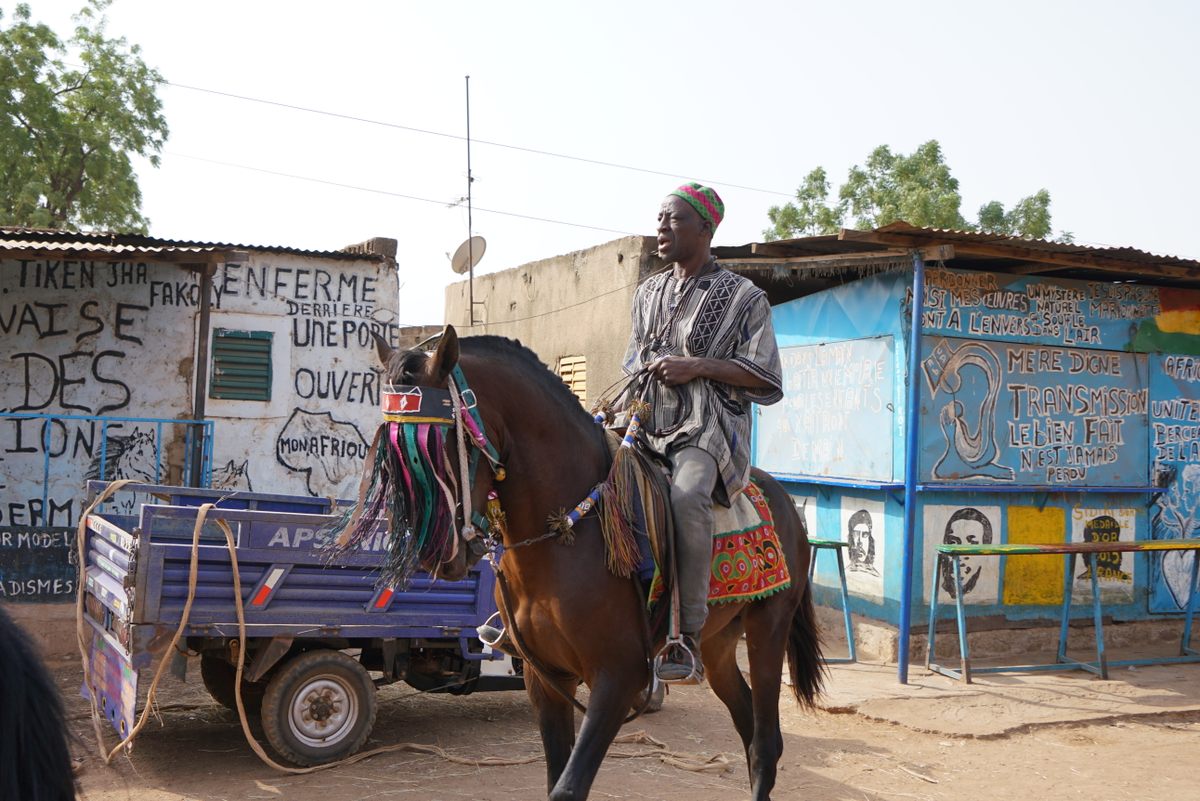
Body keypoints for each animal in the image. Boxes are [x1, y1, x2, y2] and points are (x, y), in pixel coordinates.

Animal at [374, 326, 825, 801]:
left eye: (445, 442)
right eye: (393, 453)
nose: (438, 556)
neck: (563, 540)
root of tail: (782, 497)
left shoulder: (618, 678)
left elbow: (568, 787)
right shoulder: (547, 679)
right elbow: (556, 776)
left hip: (768, 629)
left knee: (764, 742)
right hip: (719, 643)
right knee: (746, 722)